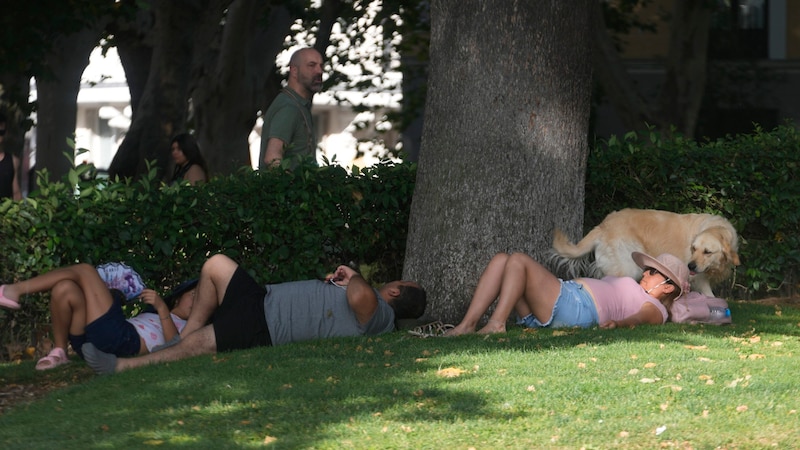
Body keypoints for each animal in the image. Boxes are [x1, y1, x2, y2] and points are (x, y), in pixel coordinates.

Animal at [552, 209, 740, 298]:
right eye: (693, 249)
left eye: (707, 252)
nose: (691, 265)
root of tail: (603, 225)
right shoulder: (698, 278)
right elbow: (710, 295)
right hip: (627, 267)